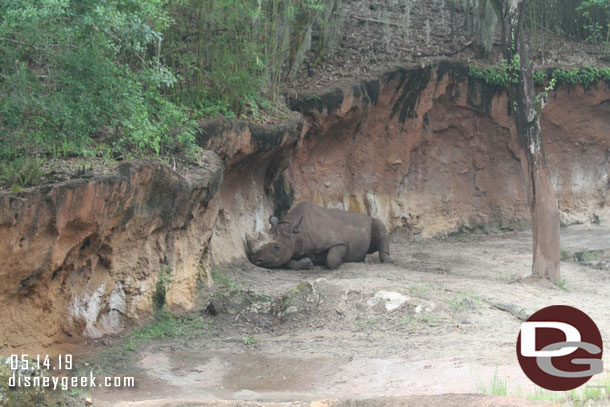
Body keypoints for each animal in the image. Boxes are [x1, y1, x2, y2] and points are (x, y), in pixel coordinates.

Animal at [243, 202, 390, 270]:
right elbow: (288, 262)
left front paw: (339, 261)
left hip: (369, 220)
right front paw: (307, 262)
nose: (256, 260)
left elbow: (332, 259)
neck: (296, 233)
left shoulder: (339, 242)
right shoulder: (292, 247)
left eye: (276, 247)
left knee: (378, 224)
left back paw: (380, 260)